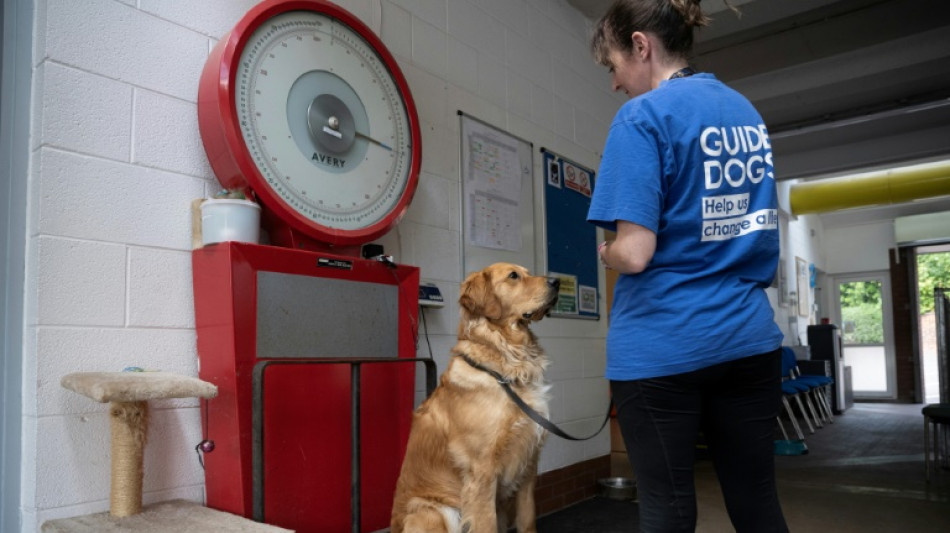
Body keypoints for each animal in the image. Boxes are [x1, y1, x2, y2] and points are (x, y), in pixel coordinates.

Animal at [392, 262, 560, 532]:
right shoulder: (481, 471)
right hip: (435, 510)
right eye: (513, 276)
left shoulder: (528, 466)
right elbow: (486, 524)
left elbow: (527, 520)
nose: (556, 282)